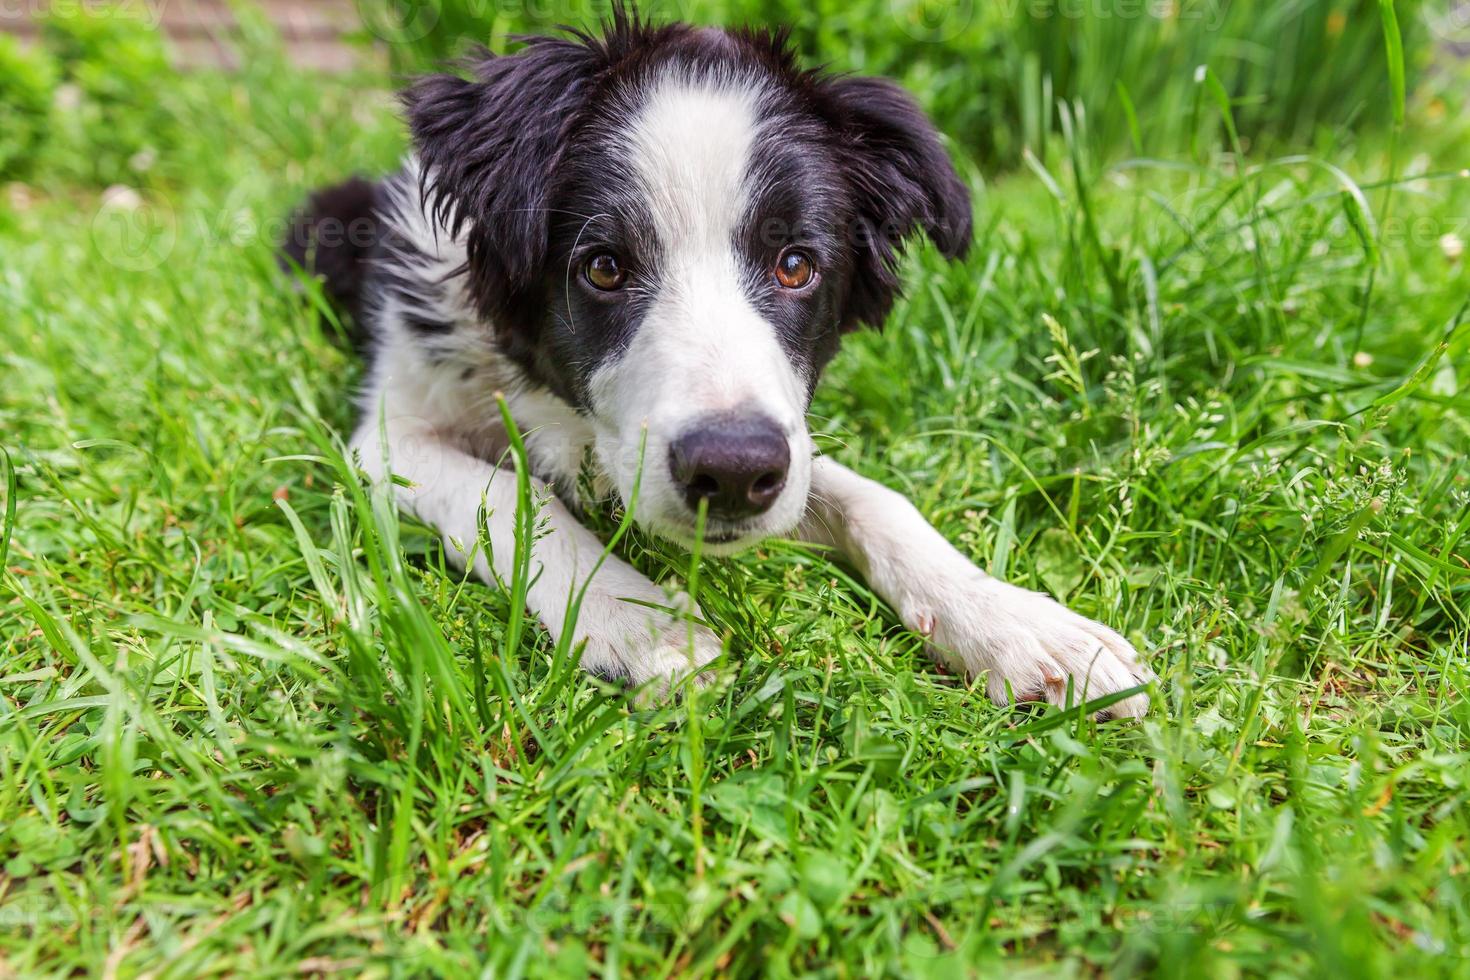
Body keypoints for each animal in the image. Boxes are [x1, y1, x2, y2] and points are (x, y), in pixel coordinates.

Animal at [286, 11, 1152, 717]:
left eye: (796, 265)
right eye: (603, 267)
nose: (732, 473)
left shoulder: (784, 440)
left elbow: (874, 500)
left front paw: (1020, 624)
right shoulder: (387, 436)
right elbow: (504, 493)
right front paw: (639, 621)